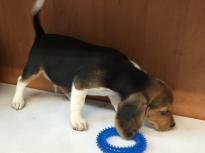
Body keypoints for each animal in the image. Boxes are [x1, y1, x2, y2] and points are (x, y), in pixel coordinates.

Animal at [11, 0, 175, 139]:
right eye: (164, 111)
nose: (173, 125)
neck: (126, 72)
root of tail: (42, 36)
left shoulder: (112, 93)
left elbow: (116, 105)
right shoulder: (80, 83)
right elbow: (78, 105)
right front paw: (77, 121)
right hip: (33, 67)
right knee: (21, 81)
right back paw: (17, 101)